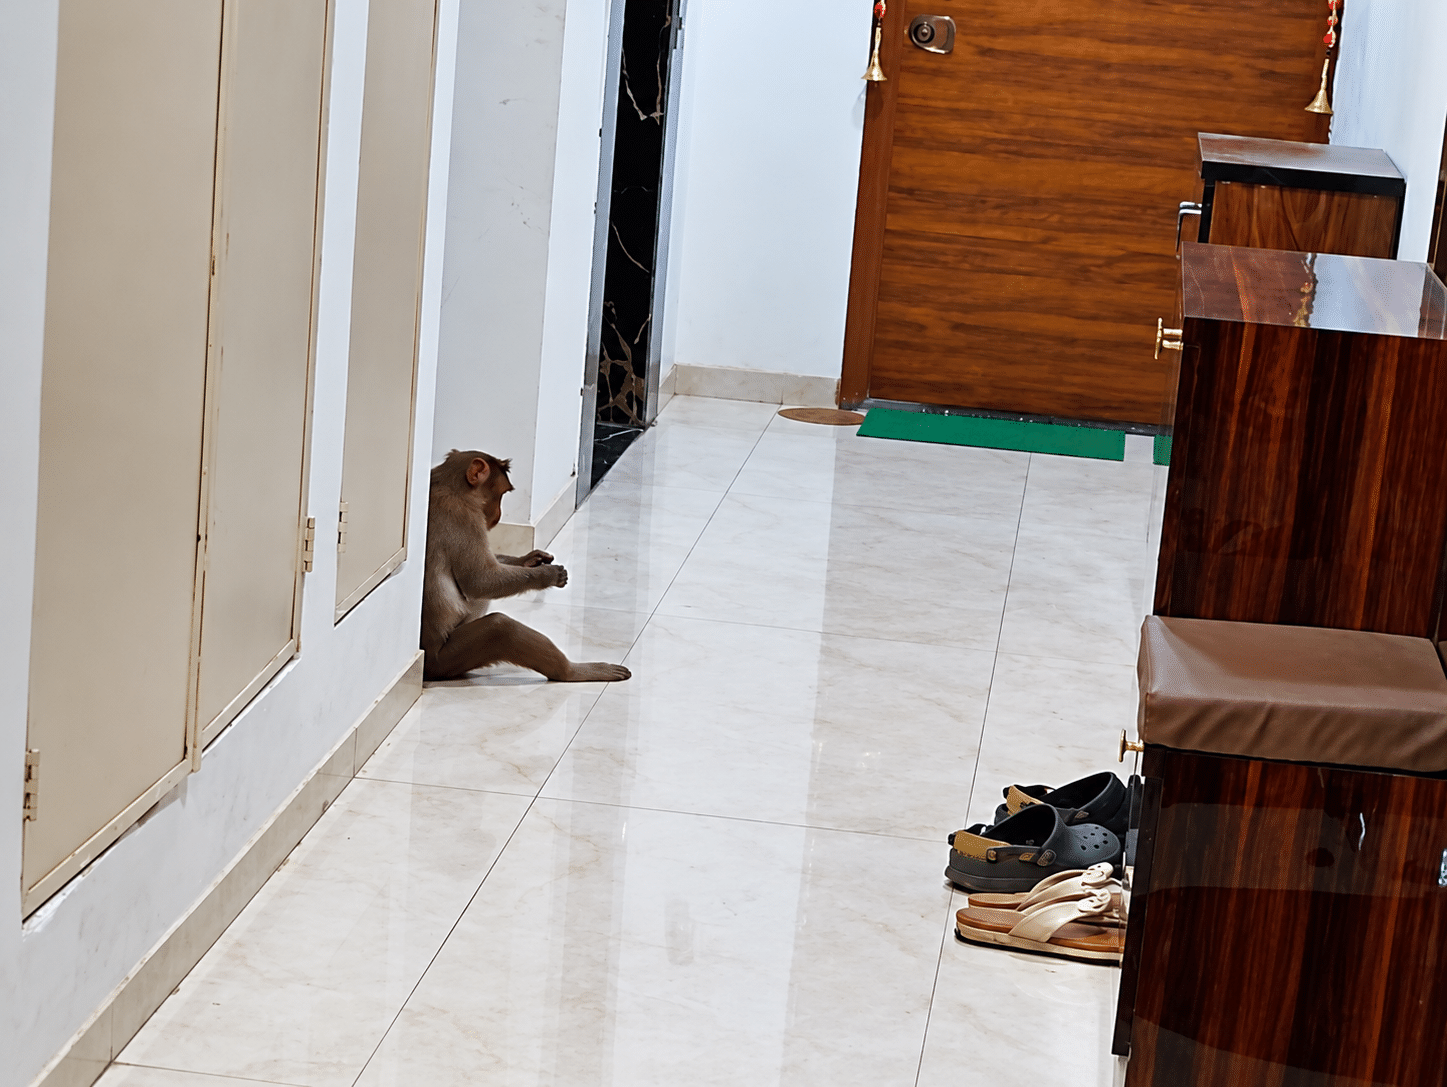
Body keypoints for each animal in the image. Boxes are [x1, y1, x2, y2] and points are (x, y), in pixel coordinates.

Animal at [421, 449, 632, 683]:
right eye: (501, 493)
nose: (498, 515)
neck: (451, 486)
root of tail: (427, 667)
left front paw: (530, 560)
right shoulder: (464, 517)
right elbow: (480, 581)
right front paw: (547, 575)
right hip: (444, 660)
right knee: (501, 628)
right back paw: (572, 671)